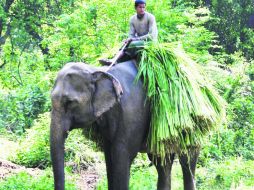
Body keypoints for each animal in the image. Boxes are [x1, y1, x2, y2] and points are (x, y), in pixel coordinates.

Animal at [50, 60, 200, 190]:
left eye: (69, 102)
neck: (98, 71)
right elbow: (109, 156)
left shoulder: (130, 114)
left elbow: (122, 157)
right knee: (162, 161)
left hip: (191, 120)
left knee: (188, 158)